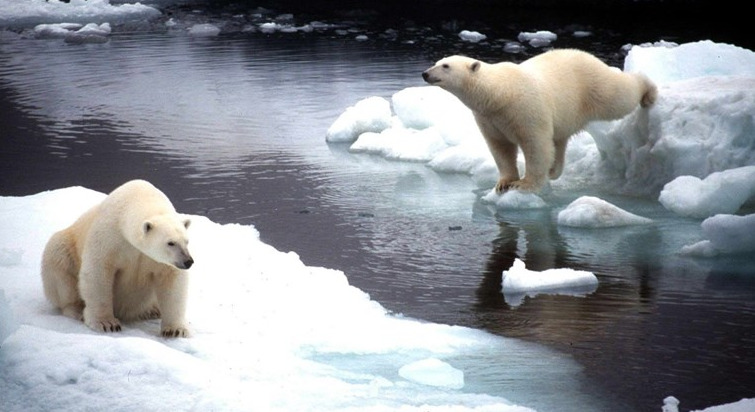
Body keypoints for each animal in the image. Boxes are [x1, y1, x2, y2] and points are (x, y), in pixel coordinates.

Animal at [40, 180, 195, 338]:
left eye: (186, 241)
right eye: (170, 243)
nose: (188, 261)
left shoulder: (159, 261)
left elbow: (172, 281)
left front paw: (175, 330)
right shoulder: (109, 237)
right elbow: (98, 272)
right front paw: (106, 323)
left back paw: (152, 310)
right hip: (65, 248)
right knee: (60, 266)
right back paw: (77, 310)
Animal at [422, 49, 660, 194]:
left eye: (445, 66)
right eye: (437, 62)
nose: (425, 73)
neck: (499, 93)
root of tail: (590, 56)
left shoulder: (525, 109)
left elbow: (535, 144)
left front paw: (524, 184)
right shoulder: (489, 118)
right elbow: (500, 147)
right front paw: (503, 183)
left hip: (592, 86)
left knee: (618, 96)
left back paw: (648, 92)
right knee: (560, 140)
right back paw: (554, 171)